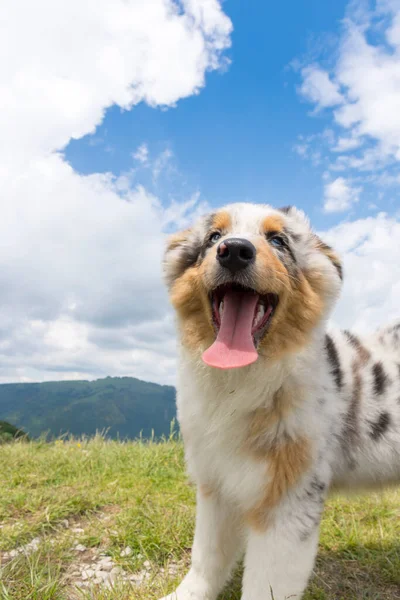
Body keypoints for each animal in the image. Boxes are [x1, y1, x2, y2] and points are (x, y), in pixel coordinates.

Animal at [160, 204, 400, 596]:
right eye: (213, 237)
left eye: (278, 240)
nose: (234, 250)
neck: (238, 386)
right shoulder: (216, 482)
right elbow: (206, 557)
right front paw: (183, 595)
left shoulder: (288, 498)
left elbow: (265, 584)